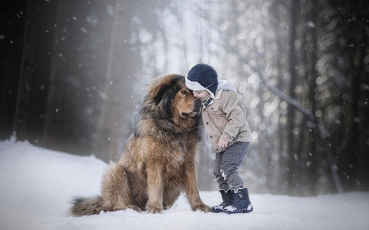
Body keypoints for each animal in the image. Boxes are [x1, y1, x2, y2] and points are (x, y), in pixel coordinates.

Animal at [70, 74, 210, 216]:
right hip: (115, 171)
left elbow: (193, 188)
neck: (175, 129)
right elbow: (156, 186)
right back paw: (131, 207)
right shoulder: (155, 161)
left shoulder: (188, 162)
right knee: (116, 205)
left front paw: (199, 206)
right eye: (184, 92)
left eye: (197, 93)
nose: (199, 103)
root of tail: (103, 201)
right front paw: (155, 207)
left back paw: (163, 205)